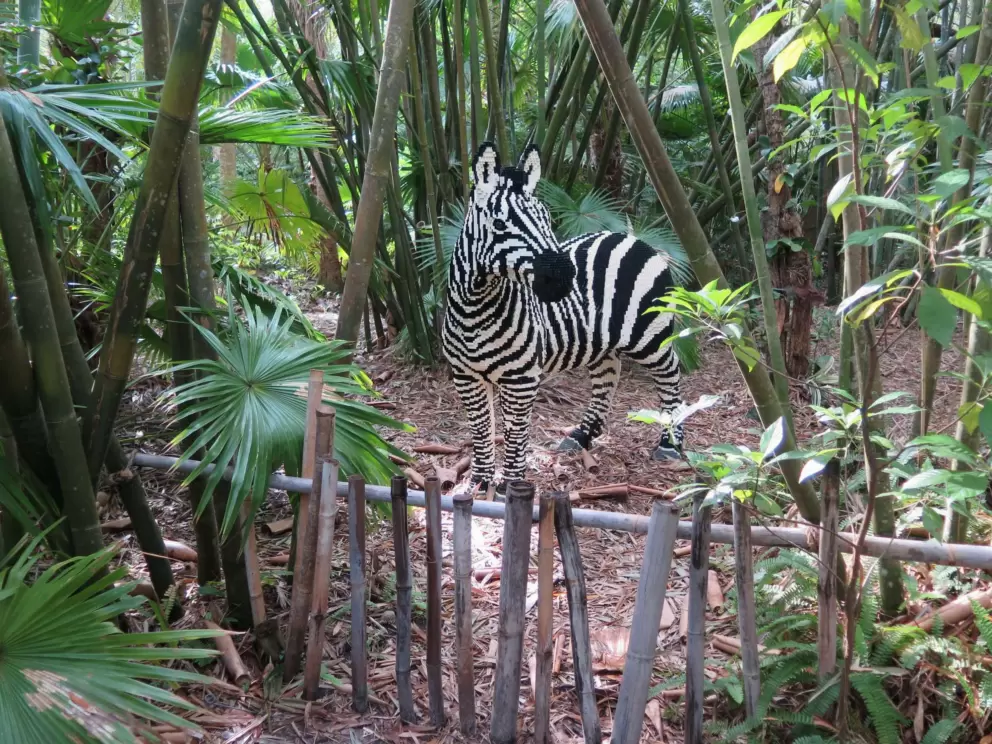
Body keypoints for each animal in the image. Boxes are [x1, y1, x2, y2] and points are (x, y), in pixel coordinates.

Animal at [442, 141, 684, 493]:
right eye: (500, 224)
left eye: (545, 218)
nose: (566, 278)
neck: (476, 310)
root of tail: (631, 238)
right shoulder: (465, 376)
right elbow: (481, 430)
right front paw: (478, 482)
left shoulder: (522, 379)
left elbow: (515, 435)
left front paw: (511, 486)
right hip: (601, 340)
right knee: (608, 374)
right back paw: (582, 435)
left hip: (649, 334)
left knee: (670, 373)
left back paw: (670, 443)